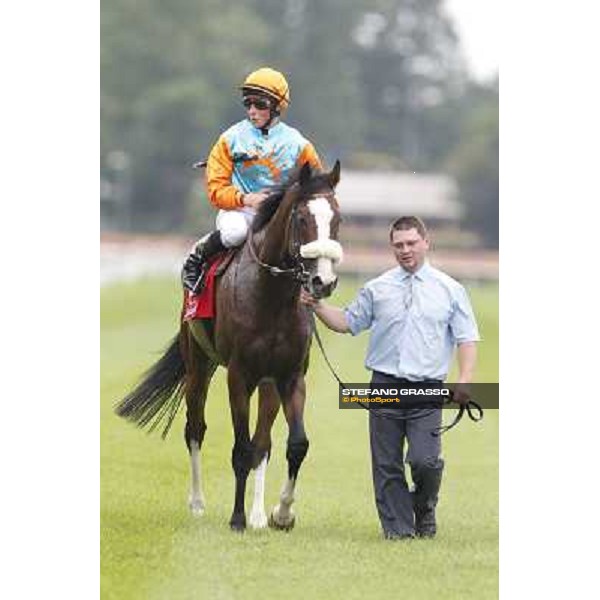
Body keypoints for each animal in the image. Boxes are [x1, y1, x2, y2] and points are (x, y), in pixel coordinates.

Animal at [116, 159, 342, 528]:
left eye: (337, 219)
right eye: (302, 219)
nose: (323, 281)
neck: (273, 298)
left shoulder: (290, 376)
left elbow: (294, 444)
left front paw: (280, 513)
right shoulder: (238, 375)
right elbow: (240, 449)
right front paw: (237, 518)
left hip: (267, 384)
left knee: (263, 443)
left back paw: (259, 515)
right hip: (198, 367)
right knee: (195, 429)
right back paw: (197, 504)